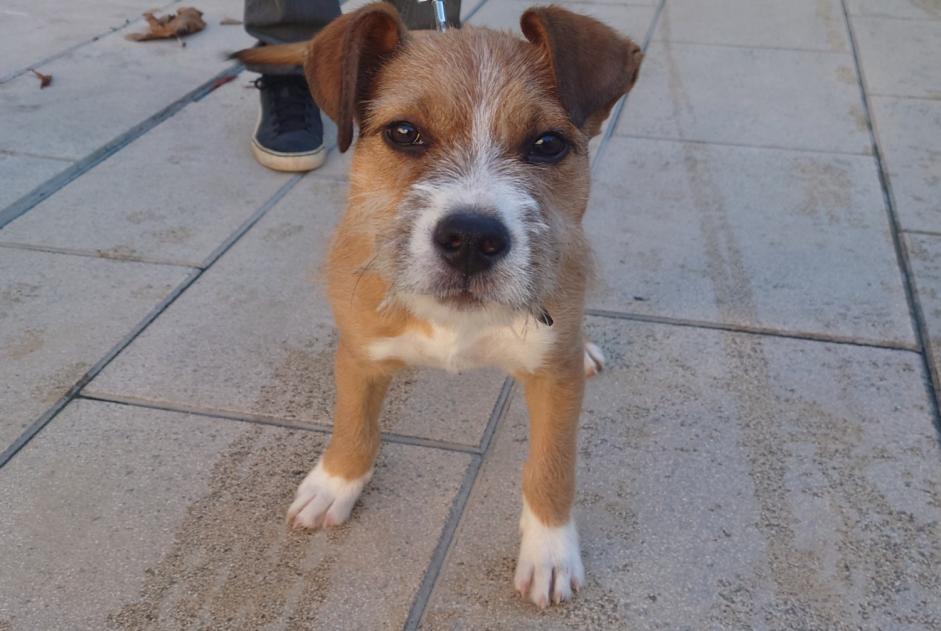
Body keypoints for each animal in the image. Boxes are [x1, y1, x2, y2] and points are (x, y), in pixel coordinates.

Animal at [235, 2, 644, 608]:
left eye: (548, 144)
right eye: (404, 133)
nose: (471, 239)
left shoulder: (555, 377)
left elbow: (551, 466)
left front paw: (549, 551)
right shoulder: (359, 352)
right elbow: (354, 423)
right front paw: (335, 483)